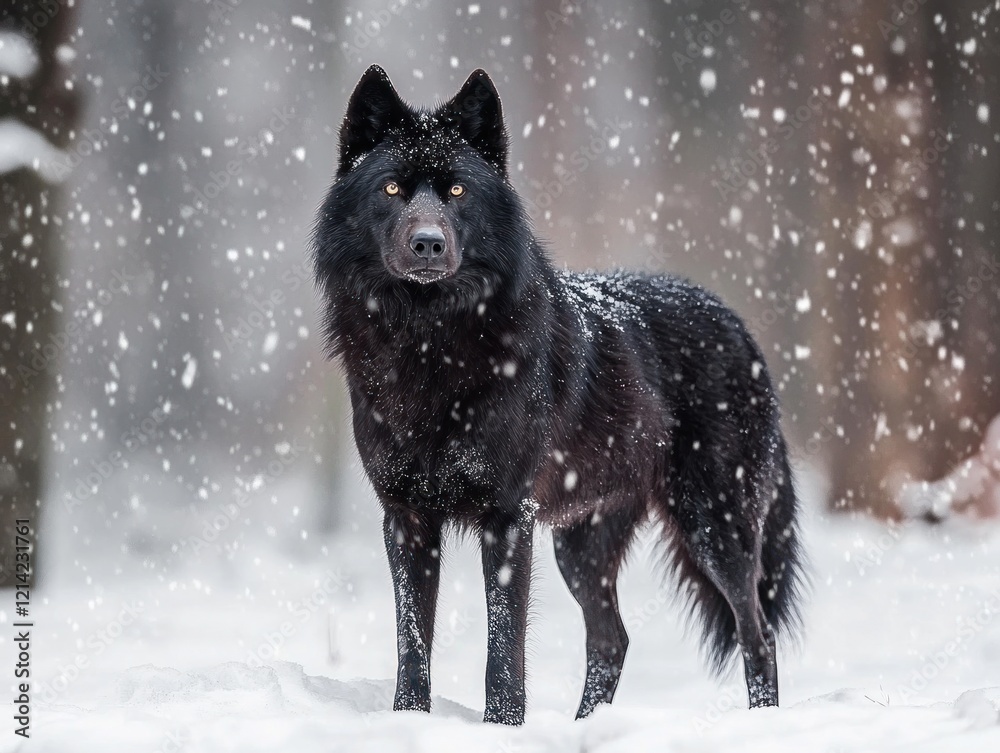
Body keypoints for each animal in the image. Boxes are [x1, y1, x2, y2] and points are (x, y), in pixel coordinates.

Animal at [313, 65, 803, 725]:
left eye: (458, 191)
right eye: (392, 188)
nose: (428, 243)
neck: (431, 343)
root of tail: (739, 326)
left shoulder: (506, 520)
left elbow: (504, 649)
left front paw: (502, 727)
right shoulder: (406, 520)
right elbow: (412, 643)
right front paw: (409, 721)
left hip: (714, 527)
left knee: (758, 633)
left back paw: (759, 721)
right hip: (581, 546)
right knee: (612, 639)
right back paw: (588, 726)